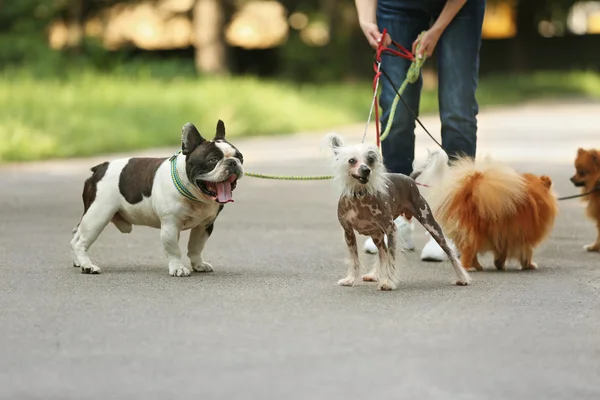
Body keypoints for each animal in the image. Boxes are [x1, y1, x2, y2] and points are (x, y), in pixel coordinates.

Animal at [72, 119, 244, 276]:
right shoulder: (170, 225)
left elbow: (196, 247)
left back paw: (78, 261)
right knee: (81, 242)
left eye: (240, 157)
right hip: (97, 216)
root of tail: (100, 167)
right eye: (212, 160)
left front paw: (198, 264)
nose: (232, 162)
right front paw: (178, 268)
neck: (194, 194)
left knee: (76, 235)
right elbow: (174, 249)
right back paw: (87, 266)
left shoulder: (204, 225)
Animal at [326, 134, 472, 290]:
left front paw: (388, 282)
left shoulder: (391, 229)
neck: (360, 195)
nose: (366, 170)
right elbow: (355, 259)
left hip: (430, 223)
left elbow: (391, 257)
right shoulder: (348, 232)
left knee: (448, 251)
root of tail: (410, 179)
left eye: (370, 159)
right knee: (382, 253)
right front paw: (351, 279)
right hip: (377, 235)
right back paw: (375, 275)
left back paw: (462, 277)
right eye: (352, 160)